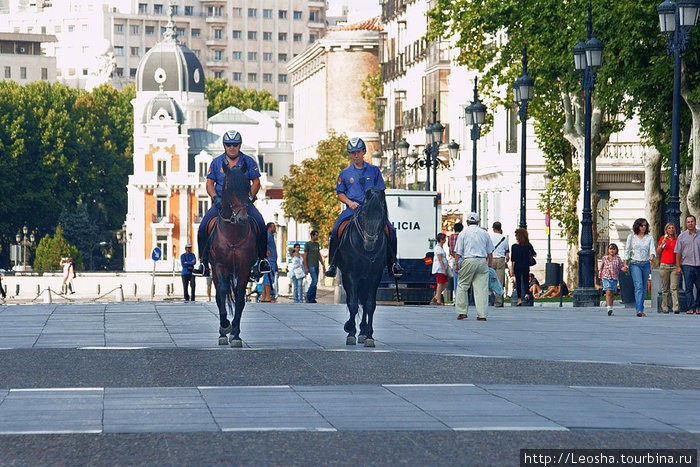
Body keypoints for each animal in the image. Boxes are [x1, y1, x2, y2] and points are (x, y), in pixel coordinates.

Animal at [205, 165, 260, 348]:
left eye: (247, 187)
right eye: (229, 189)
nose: (242, 218)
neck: (233, 233)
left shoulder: (244, 268)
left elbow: (240, 297)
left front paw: (235, 333)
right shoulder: (220, 266)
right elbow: (222, 292)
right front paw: (225, 326)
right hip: (215, 270)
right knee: (218, 294)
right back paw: (223, 331)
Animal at [334, 186, 388, 348]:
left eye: (381, 215)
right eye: (363, 214)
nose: (369, 243)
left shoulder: (375, 276)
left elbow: (370, 305)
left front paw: (369, 336)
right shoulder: (351, 275)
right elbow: (352, 303)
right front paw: (350, 330)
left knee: (364, 302)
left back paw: (363, 332)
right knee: (354, 300)